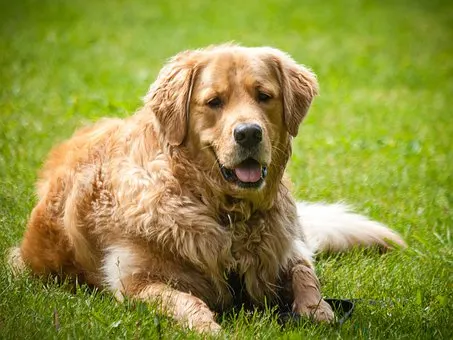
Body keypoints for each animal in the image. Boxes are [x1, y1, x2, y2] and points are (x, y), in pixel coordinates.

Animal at [7, 43, 404, 334]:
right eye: (214, 102)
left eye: (264, 96)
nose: (249, 133)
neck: (224, 213)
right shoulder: (133, 280)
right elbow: (185, 302)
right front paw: (208, 327)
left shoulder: (286, 247)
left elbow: (305, 273)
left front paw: (317, 310)